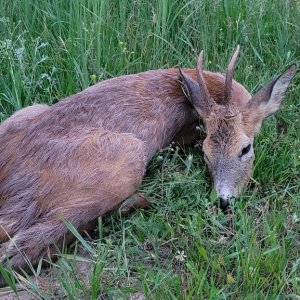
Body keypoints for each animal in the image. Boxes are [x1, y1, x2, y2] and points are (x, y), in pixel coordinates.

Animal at [0, 46, 296, 278]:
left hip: (29, 110)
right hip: (128, 156)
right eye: (205, 154)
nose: (224, 200)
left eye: (246, 148)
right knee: (19, 252)